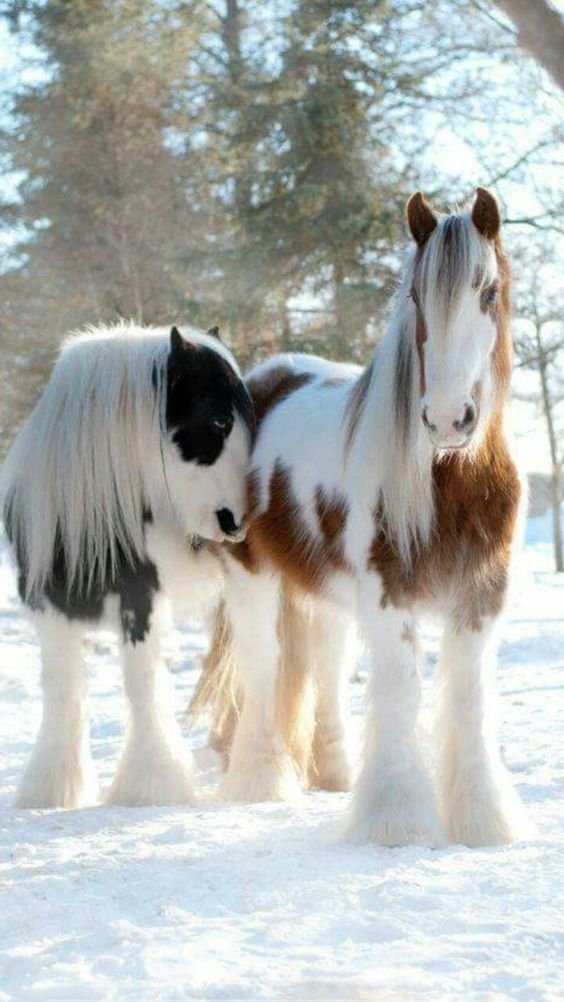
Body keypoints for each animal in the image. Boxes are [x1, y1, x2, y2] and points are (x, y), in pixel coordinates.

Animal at [2, 322, 255, 809]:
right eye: (218, 421)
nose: (240, 519)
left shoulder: (142, 602)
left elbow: (143, 680)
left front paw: (152, 784)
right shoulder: (49, 606)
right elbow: (62, 685)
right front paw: (53, 788)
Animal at [189, 187, 532, 848]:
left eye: (488, 292)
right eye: (417, 297)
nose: (447, 419)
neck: (450, 483)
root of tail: (263, 378)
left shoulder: (480, 598)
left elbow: (468, 701)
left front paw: (479, 819)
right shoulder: (388, 597)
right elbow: (399, 693)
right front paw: (397, 822)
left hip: (327, 595)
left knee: (325, 665)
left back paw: (333, 774)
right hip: (252, 579)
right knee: (263, 665)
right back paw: (261, 780)